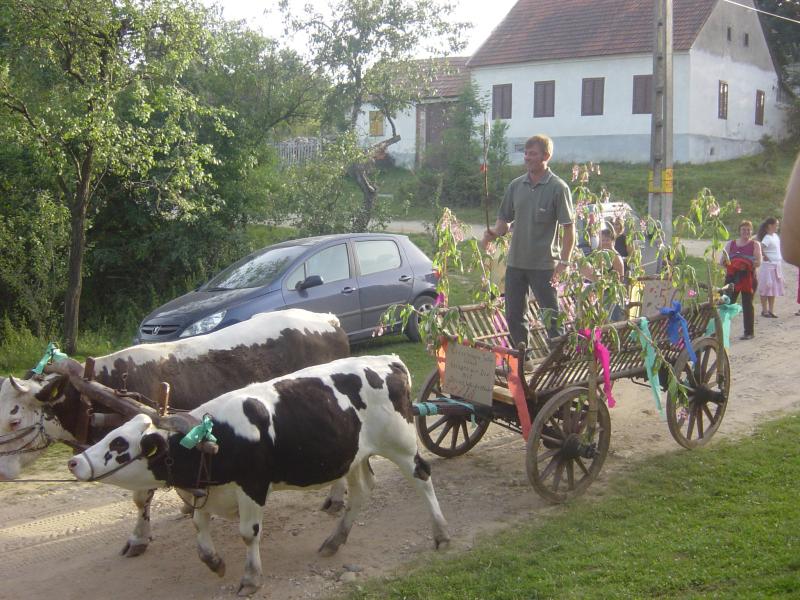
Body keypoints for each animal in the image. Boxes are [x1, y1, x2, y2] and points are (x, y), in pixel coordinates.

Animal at [0, 309, 350, 556]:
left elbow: (141, 498)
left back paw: (336, 498)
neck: (97, 393)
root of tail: (326, 318)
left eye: (14, 420)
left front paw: (138, 539)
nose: (2, 472)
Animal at [68, 355, 450, 596]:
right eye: (111, 433)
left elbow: (248, 534)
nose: (74, 462)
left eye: (118, 444)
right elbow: (199, 527)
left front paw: (251, 579)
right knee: (362, 492)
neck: (211, 438)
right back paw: (334, 540)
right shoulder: (208, 489)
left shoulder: (252, 485)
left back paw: (441, 534)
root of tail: (390, 360)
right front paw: (214, 561)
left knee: (423, 476)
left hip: (399, 443)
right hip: (353, 455)